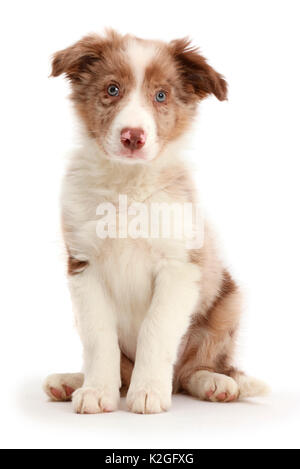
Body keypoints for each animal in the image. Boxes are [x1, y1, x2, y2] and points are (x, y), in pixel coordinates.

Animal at [42, 30, 268, 414]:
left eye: (160, 96)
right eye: (112, 89)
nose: (133, 136)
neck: (128, 184)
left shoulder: (180, 267)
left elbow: (156, 329)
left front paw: (148, 392)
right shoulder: (84, 267)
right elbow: (99, 337)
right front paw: (97, 391)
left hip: (228, 302)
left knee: (192, 370)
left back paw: (215, 383)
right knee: (123, 368)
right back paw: (72, 381)